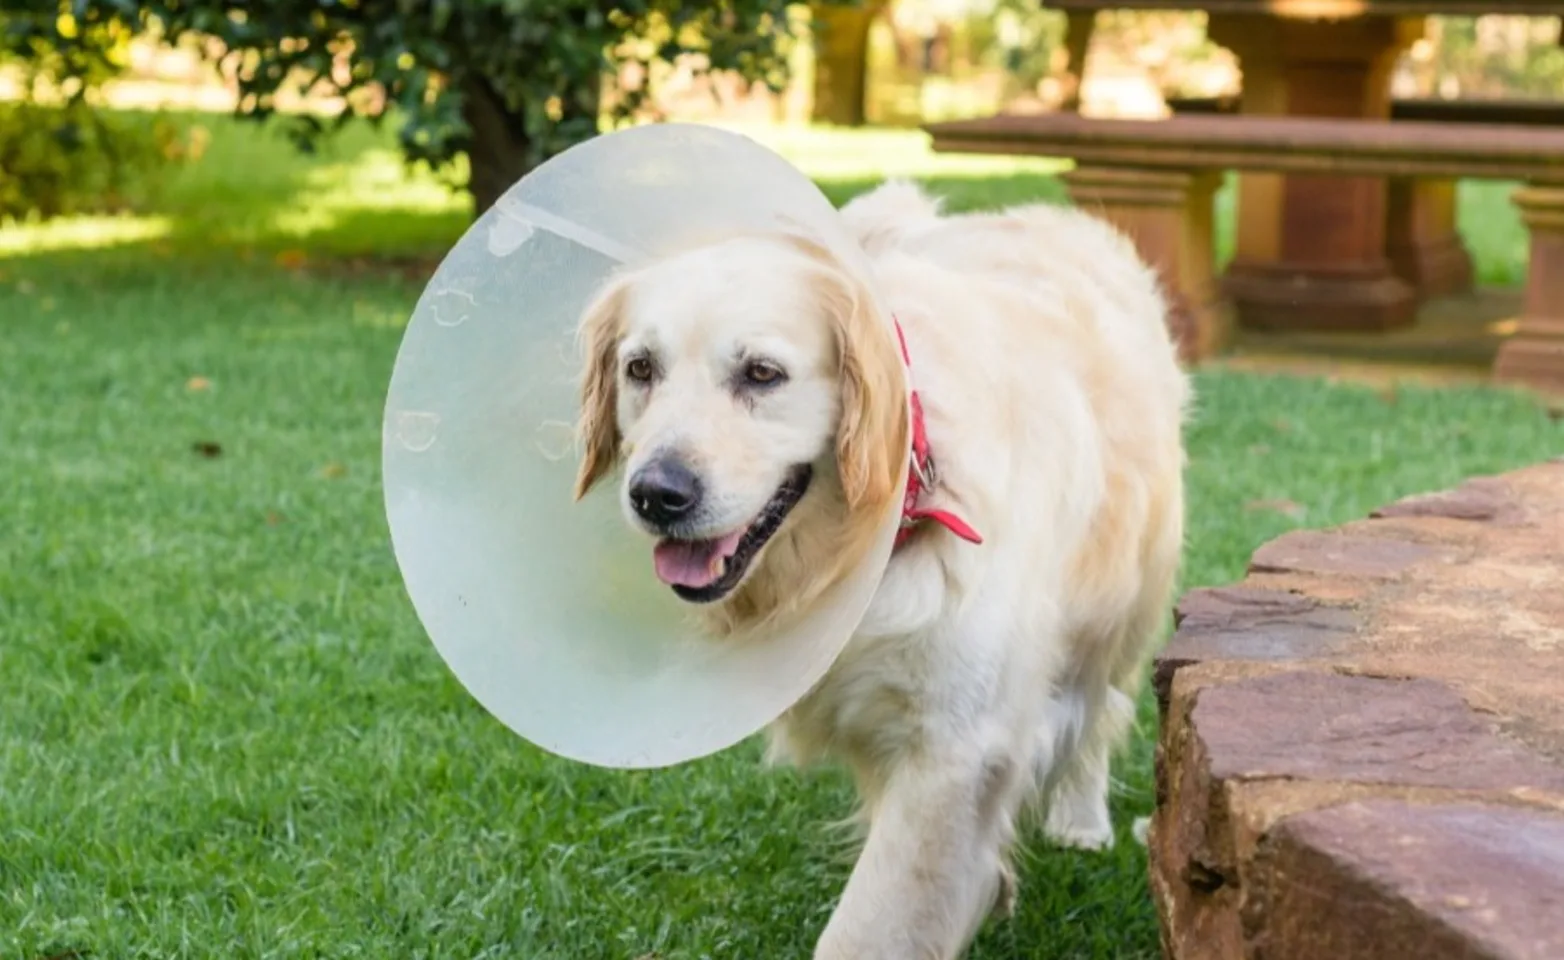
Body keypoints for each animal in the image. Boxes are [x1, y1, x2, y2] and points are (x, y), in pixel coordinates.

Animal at [572, 182, 1182, 960]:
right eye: (640, 368)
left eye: (762, 373)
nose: (656, 494)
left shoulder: (954, 748)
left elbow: (872, 924)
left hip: (1120, 608)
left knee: (1097, 703)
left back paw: (1081, 819)